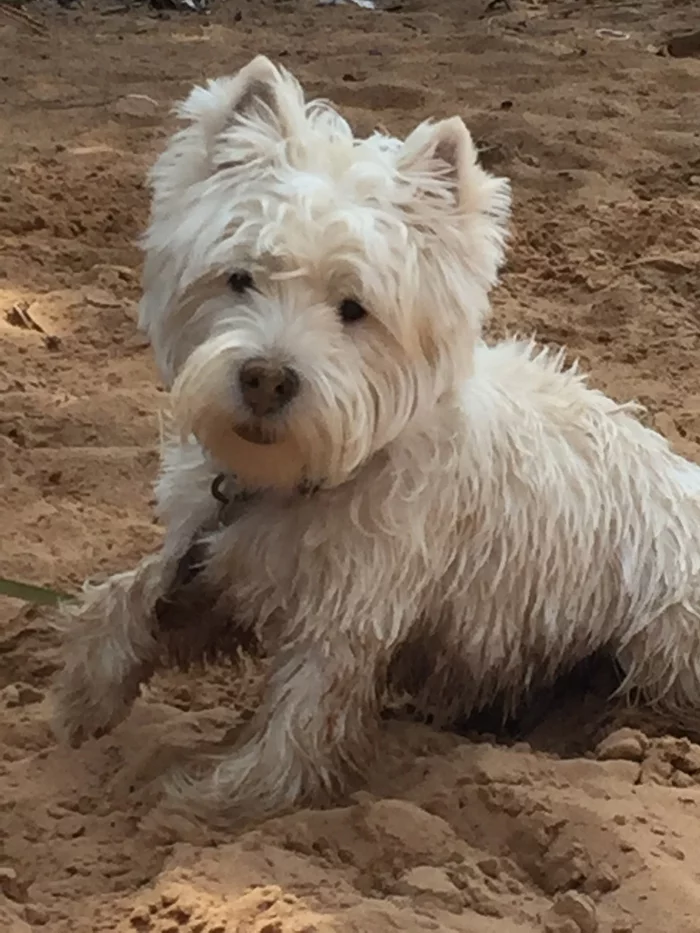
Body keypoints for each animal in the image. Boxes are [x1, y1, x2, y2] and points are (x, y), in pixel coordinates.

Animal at [52, 52, 700, 824]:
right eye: (239, 278)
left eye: (353, 308)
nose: (265, 378)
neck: (307, 472)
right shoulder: (212, 556)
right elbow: (131, 595)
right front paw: (84, 702)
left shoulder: (349, 614)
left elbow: (302, 718)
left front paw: (221, 798)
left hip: (664, 632)